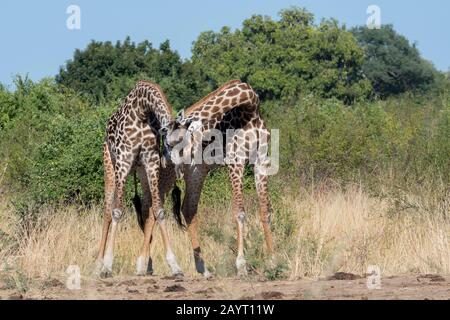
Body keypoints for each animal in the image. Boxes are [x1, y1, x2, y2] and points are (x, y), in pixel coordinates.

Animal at [96, 79, 184, 278]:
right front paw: (107, 266)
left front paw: (175, 266)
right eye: (170, 143)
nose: (177, 167)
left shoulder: (151, 163)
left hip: (142, 173)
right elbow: (117, 211)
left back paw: (145, 266)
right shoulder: (124, 160)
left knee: (144, 208)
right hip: (110, 167)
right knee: (107, 209)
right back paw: (98, 264)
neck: (142, 111)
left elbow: (159, 210)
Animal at [163, 79, 274, 276]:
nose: (171, 160)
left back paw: (203, 269)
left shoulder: (261, 161)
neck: (250, 108)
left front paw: (273, 261)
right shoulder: (236, 161)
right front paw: (241, 265)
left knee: (188, 208)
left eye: (175, 141)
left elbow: (265, 211)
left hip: (197, 171)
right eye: (169, 142)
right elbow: (240, 212)